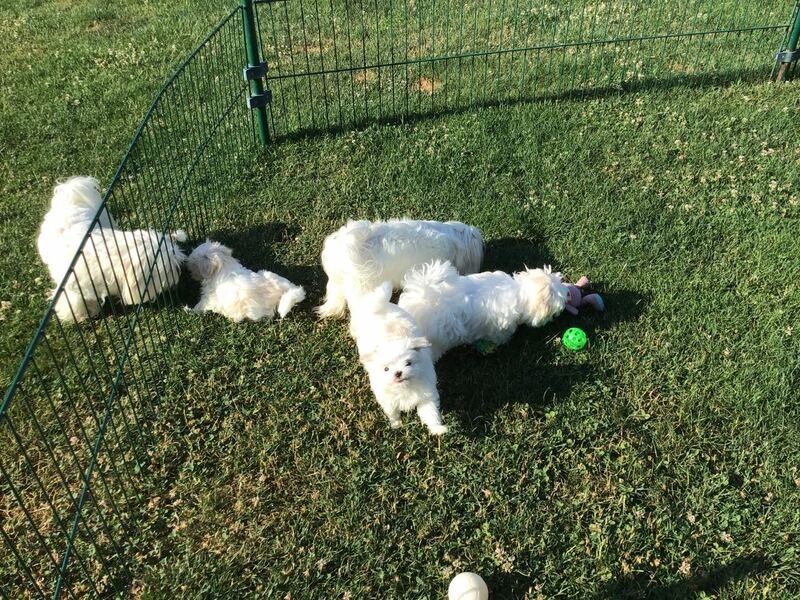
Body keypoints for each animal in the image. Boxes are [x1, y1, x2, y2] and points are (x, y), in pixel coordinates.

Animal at [37, 176, 186, 323]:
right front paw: (82, 314)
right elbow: (75, 302)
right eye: (168, 269)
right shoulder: (71, 288)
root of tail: (69, 198)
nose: (179, 271)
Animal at [349, 282, 447, 435]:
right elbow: (392, 411)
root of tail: (380, 306)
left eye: (408, 363)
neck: (404, 387)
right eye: (386, 369)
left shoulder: (426, 394)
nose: (398, 373)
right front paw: (396, 425)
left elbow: (430, 413)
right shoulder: (387, 398)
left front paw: (437, 429)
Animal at [398, 260, 569, 361]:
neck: (519, 291)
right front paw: (503, 341)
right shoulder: (499, 326)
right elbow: (500, 335)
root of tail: (422, 295)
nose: (569, 295)